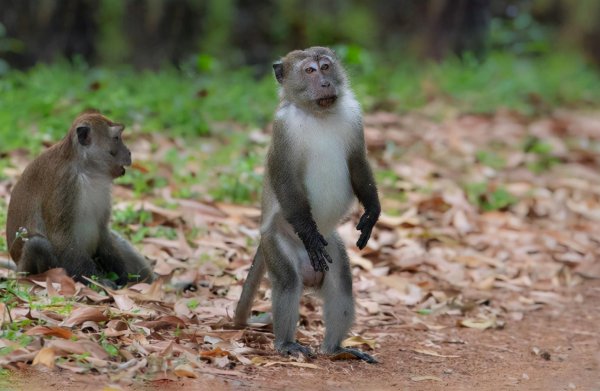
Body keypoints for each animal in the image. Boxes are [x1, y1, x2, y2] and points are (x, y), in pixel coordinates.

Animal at [5, 112, 155, 286]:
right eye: (117, 138)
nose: (129, 152)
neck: (86, 169)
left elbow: (103, 231)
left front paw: (123, 276)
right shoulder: (65, 182)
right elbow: (62, 239)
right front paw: (100, 282)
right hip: (25, 271)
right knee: (37, 245)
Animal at [234, 47, 380, 362]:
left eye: (325, 67)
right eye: (310, 71)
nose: (325, 83)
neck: (318, 114)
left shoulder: (354, 116)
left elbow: (358, 163)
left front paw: (373, 211)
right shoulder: (283, 129)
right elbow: (286, 181)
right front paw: (310, 234)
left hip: (332, 247)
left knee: (341, 286)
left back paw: (336, 348)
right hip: (275, 241)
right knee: (288, 281)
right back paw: (286, 343)